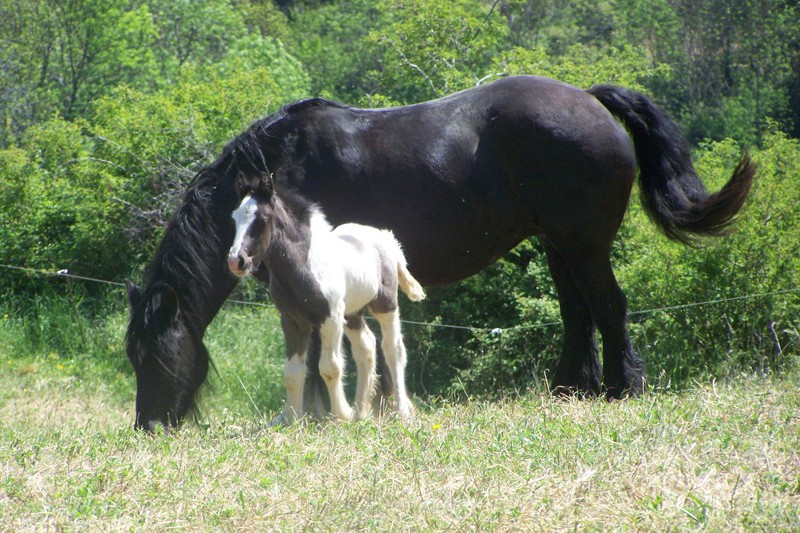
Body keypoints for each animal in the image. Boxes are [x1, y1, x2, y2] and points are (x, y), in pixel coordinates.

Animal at [122, 75, 752, 430]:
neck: (283, 161)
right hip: (558, 244)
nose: (148, 425)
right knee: (577, 313)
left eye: (151, 355)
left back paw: (623, 388)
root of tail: (591, 101)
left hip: (584, 242)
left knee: (609, 307)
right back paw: (570, 388)